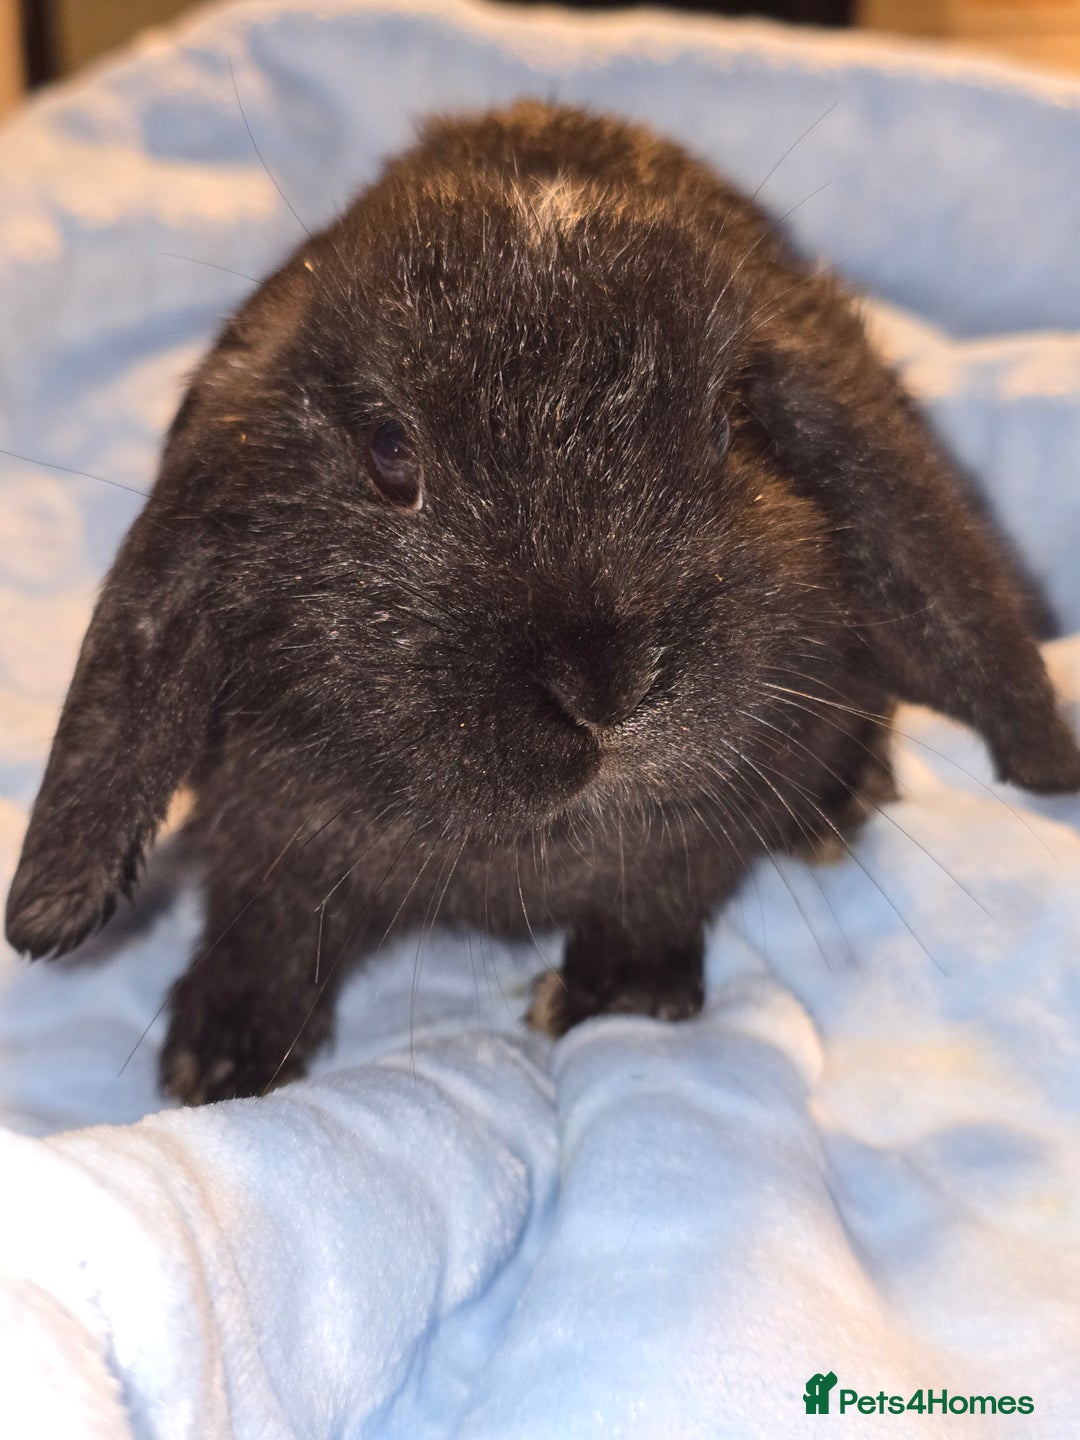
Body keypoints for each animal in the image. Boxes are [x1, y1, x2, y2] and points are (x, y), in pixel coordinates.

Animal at [6, 100, 1080, 1105]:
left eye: (729, 428)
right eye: (391, 452)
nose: (607, 686)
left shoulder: (704, 831)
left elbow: (656, 898)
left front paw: (616, 1000)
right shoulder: (263, 833)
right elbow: (263, 925)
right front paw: (216, 1062)